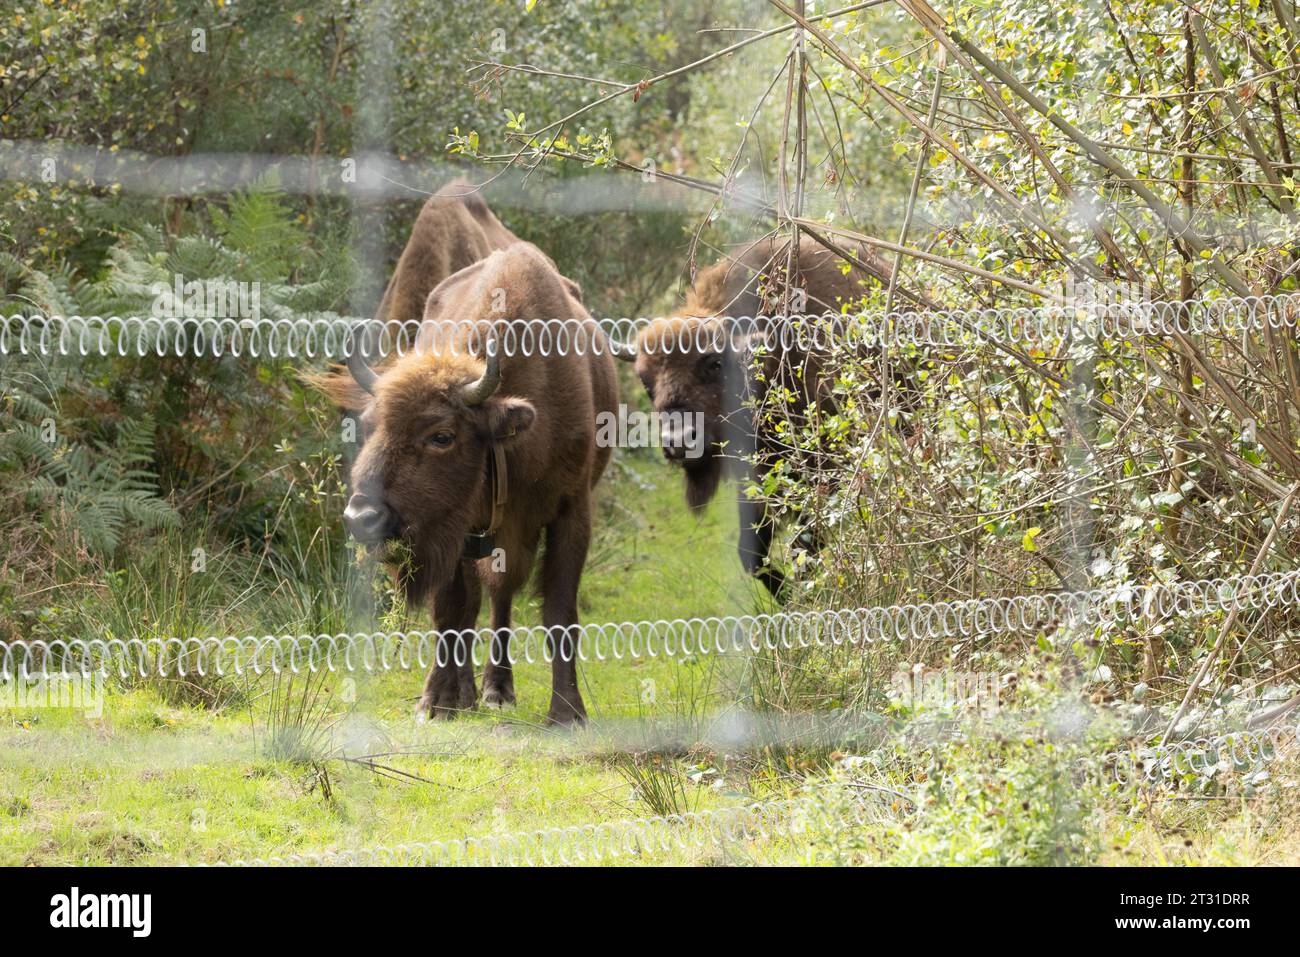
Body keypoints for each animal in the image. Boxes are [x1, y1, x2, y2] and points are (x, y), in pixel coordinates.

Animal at [314, 243, 618, 722]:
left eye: (442, 435)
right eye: (369, 425)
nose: (361, 517)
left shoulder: (572, 512)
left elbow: (559, 612)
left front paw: (568, 712)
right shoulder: (454, 530)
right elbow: (450, 610)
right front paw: (436, 703)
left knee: (500, 597)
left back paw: (497, 690)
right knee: (475, 603)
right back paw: (471, 694)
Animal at [618, 234, 894, 598]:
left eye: (714, 364)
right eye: (645, 380)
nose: (678, 442)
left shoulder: (826, 468)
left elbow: (804, 544)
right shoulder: (755, 478)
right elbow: (750, 553)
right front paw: (788, 596)